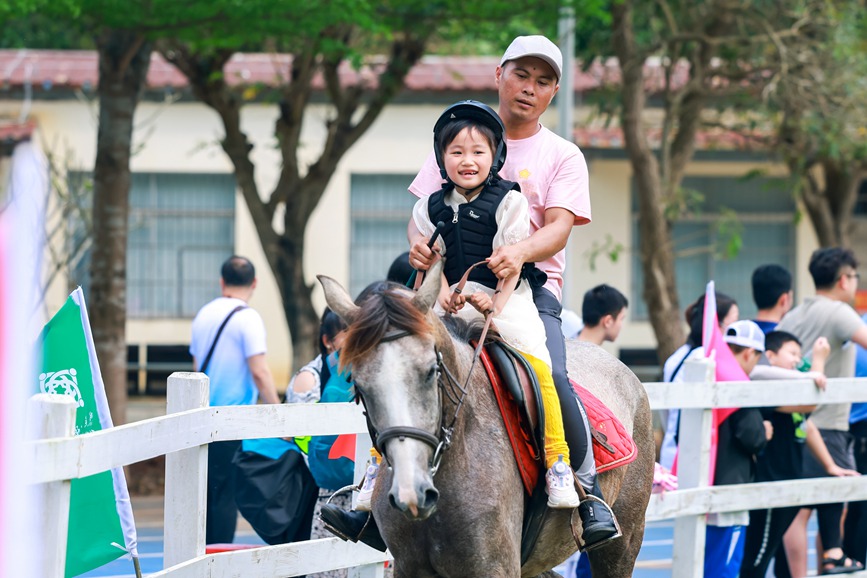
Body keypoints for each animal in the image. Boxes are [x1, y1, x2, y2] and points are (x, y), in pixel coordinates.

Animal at [322, 262, 656, 576]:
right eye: (358, 385)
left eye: (431, 371)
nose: (411, 490)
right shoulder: (409, 567)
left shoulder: (494, 566)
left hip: (624, 542)